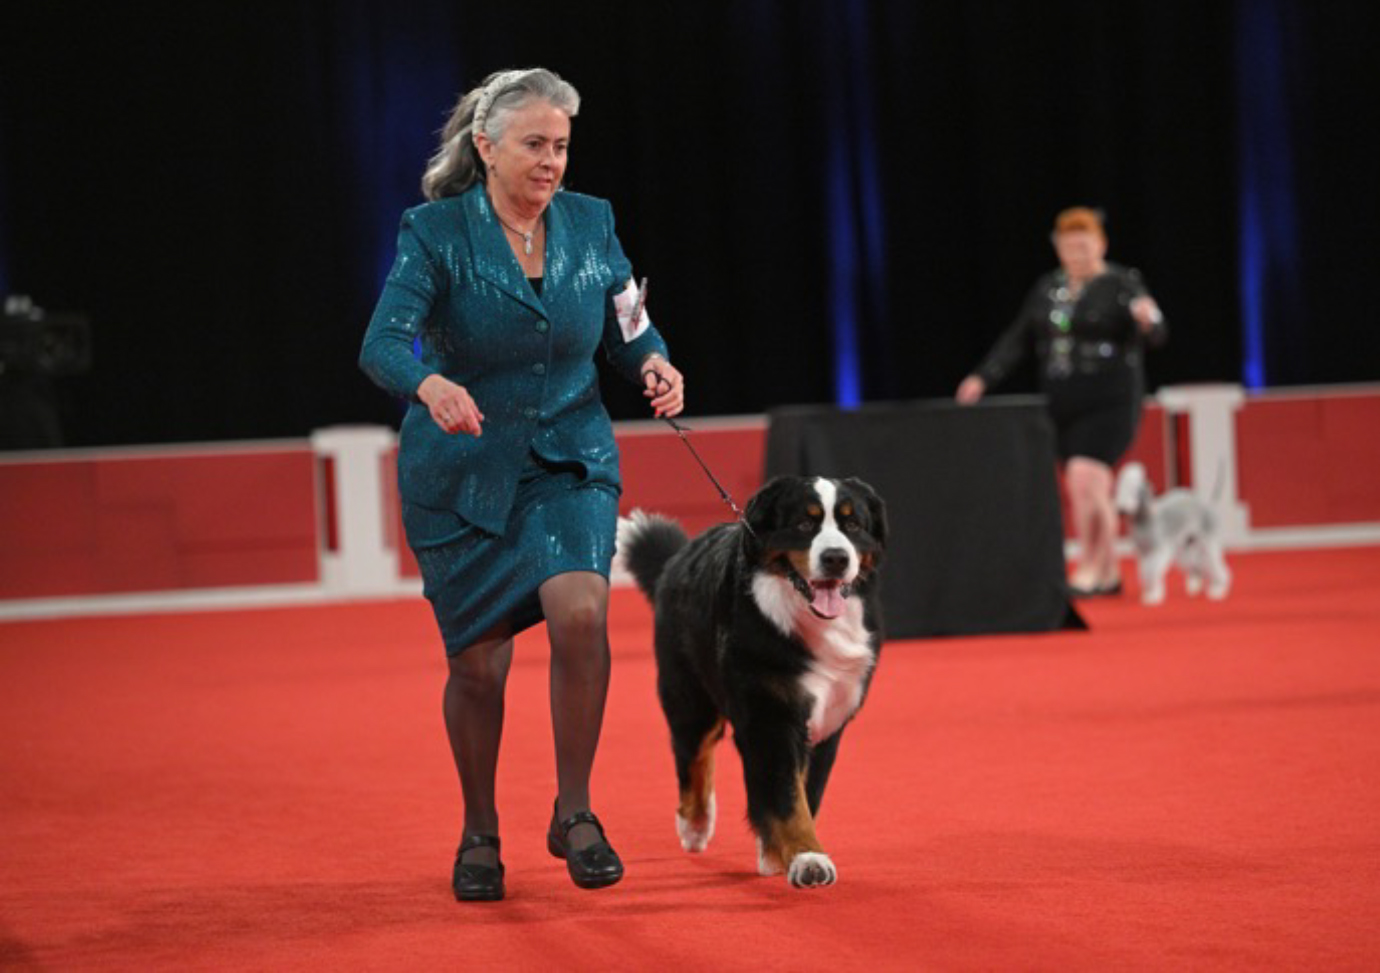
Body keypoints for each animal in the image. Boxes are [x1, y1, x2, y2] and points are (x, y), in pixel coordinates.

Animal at [617, 476, 887, 889]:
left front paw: (781, 851)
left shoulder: (828, 721)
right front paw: (807, 857)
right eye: (804, 524)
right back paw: (694, 826)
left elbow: (804, 790)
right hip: (689, 695)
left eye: (853, 525)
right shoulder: (769, 714)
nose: (836, 558)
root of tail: (680, 555)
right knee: (693, 754)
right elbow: (786, 795)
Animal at [1114, 461, 1231, 605]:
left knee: (1213, 562)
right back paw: (1195, 586)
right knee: (1196, 563)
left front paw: (1155, 595)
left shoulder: (1159, 549)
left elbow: (1153, 570)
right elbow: (1144, 571)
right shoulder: (1143, 552)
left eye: (1135, 490)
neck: (1145, 520)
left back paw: (1219, 589)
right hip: (1186, 546)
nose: (1121, 509)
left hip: (1208, 541)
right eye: (1119, 488)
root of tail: (1207, 503)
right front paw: (1148, 592)